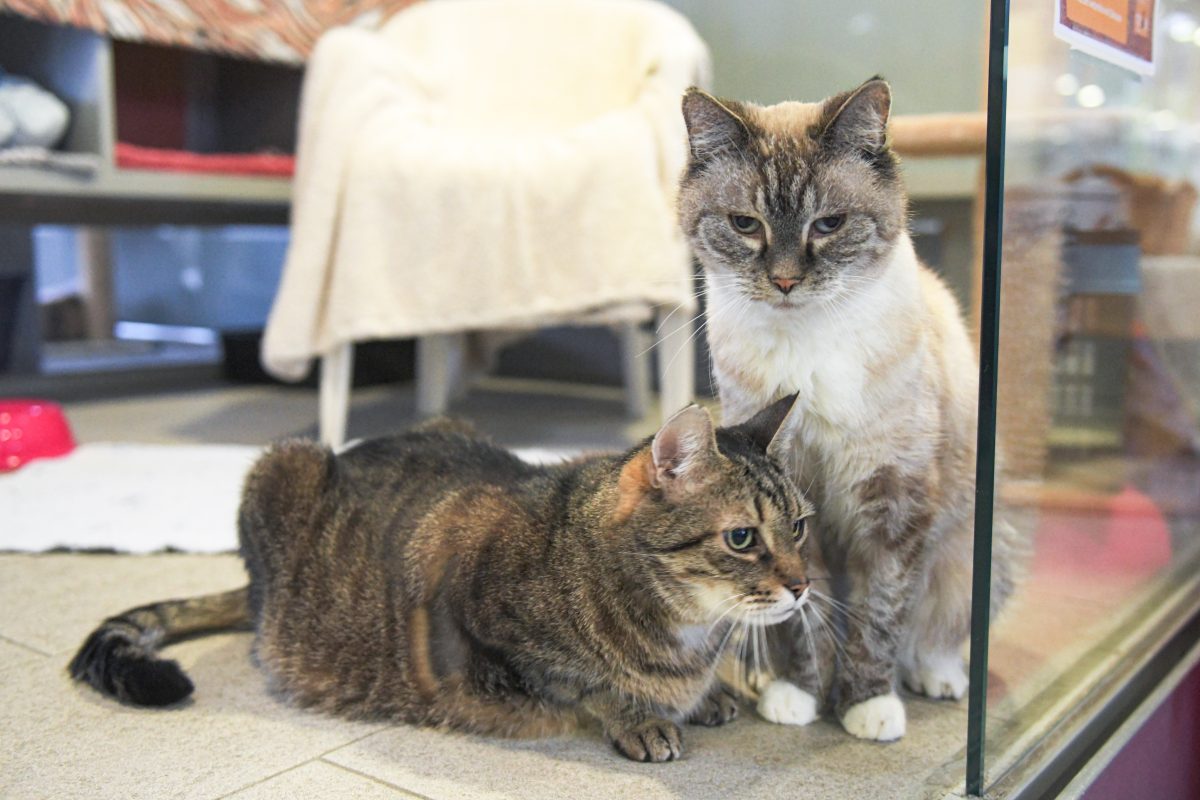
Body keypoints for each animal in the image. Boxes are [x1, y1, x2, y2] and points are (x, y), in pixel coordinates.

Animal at [72, 400, 816, 762]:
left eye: (802, 527)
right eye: (742, 538)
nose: (805, 586)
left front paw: (708, 694)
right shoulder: (476, 621)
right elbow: (582, 681)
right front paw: (641, 715)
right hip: (280, 465)